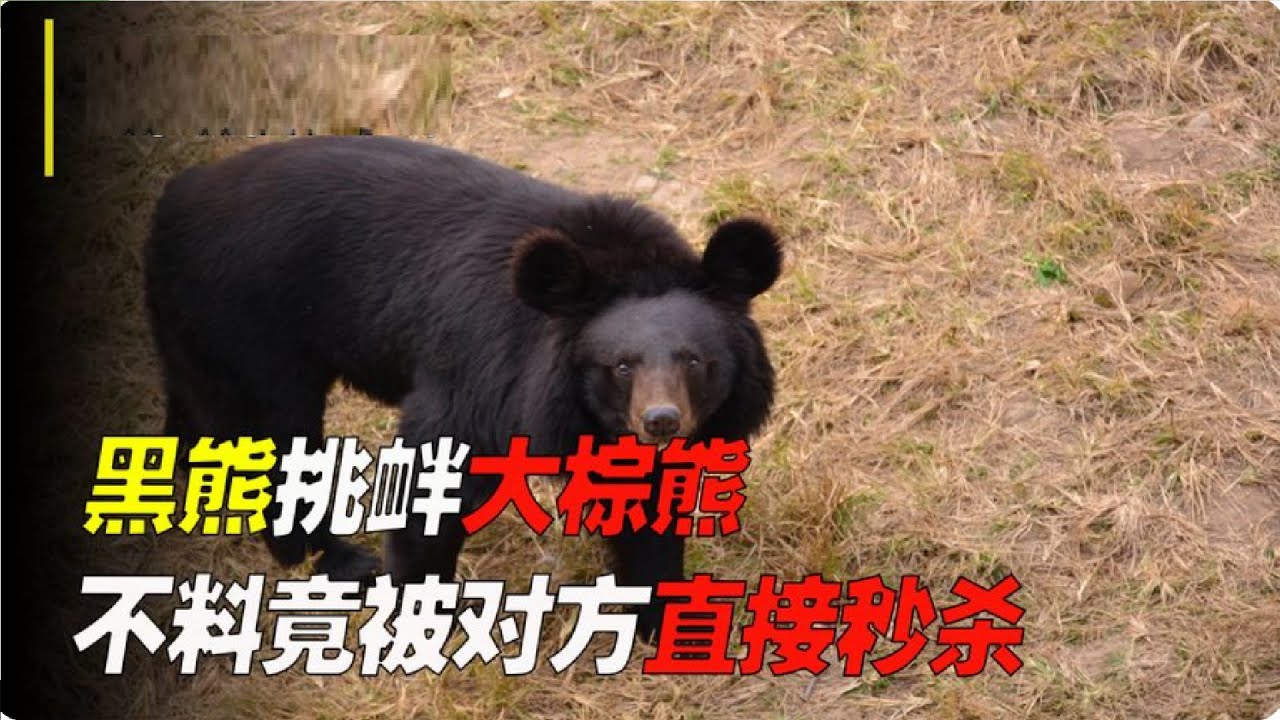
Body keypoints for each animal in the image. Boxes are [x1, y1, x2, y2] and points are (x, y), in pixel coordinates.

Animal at [144, 135, 781, 639]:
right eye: (620, 365)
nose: (661, 421)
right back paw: (334, 558)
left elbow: (646, 511)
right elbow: (433, 473)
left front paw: (661, 622)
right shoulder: (485, 374)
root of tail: (172, 201)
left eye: (695, 360)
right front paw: (425, 616)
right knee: (273, 442)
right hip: (252, 330)